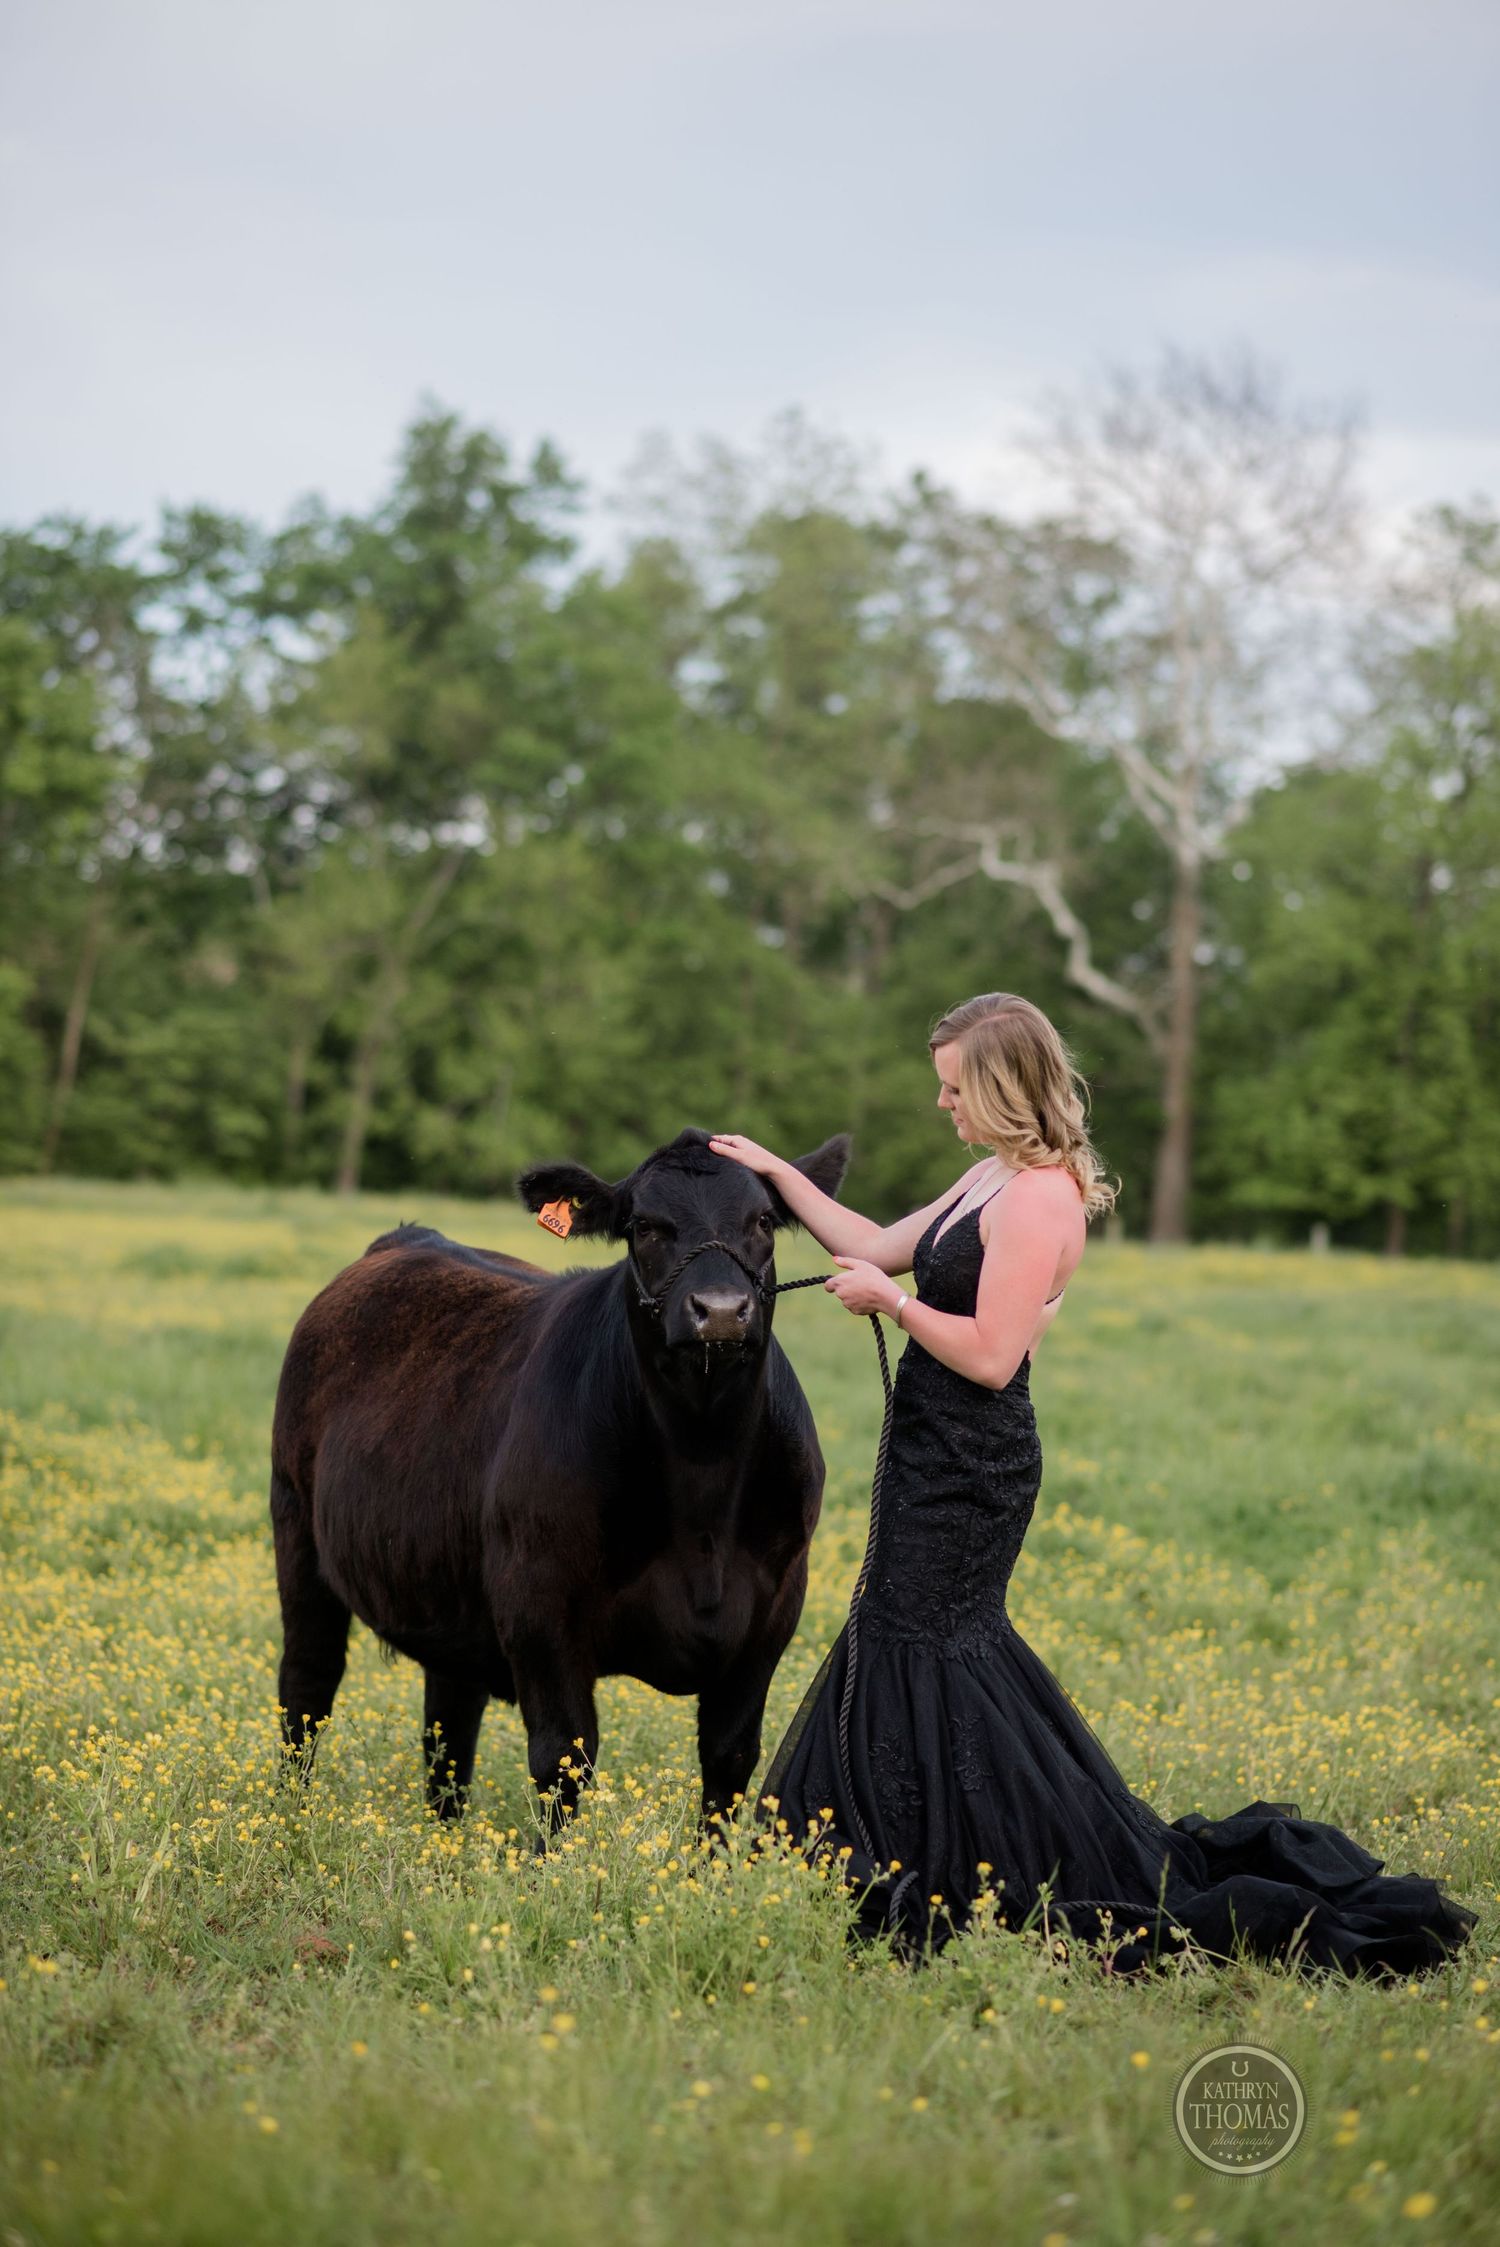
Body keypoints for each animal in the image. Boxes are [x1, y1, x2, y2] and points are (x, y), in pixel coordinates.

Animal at [269, 1126, 851, 1844]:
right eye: (643, 1225)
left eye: (764, 1220)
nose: (719, 1311)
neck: (703, 1468)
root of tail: (411, 1236)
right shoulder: (540, 1606)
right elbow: (563, 1761)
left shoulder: (771, 1615)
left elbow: (729, 1761)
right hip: (297, 1530)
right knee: (307, 1688)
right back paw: (289, 1823)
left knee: (448, 1730)